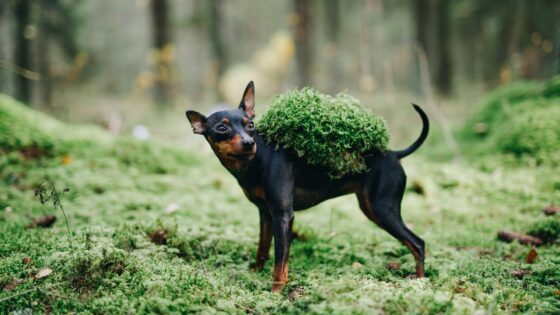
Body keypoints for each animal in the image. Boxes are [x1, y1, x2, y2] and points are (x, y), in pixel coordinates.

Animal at [187, 82, 428, 294]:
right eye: (221, 128)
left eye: (250, 125)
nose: (248, 143)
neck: (255, 161)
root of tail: (395, 154)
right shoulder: (266, 215)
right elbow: (262, 250)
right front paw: (254, 274)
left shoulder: (283, 216)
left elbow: (280, 262)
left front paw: (276, 292)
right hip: (371, 208)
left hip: (382, 209)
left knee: (418, 244)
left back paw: (420, 283)